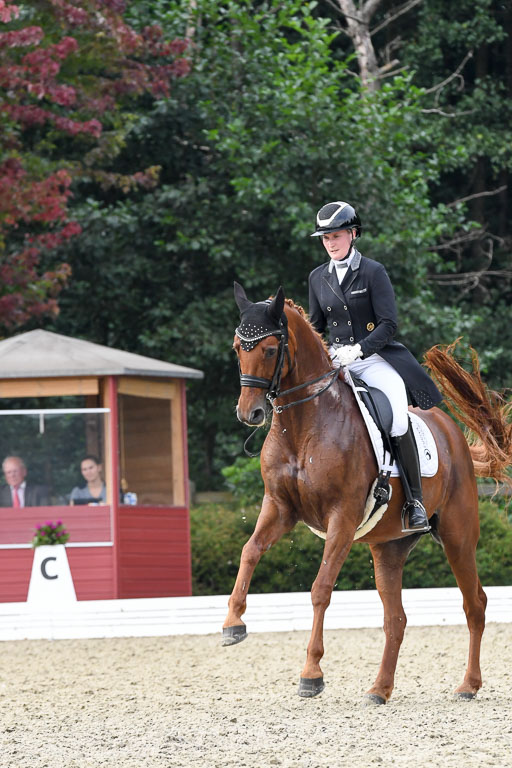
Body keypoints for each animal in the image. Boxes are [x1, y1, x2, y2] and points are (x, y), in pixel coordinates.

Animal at [224, 284, 512, 704]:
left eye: (271, 350)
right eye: (237, 348)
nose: (250, 414)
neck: (304, 424)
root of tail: (451, 432)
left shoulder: (341, 517)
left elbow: (321, 589)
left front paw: (311, 674)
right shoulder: (280, 507)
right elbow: (249, 551)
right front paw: (233, 623)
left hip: (458, 536)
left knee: (475, 605)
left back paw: (468, 685)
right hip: (388, 549)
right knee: (396, 619)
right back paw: (380, 688)